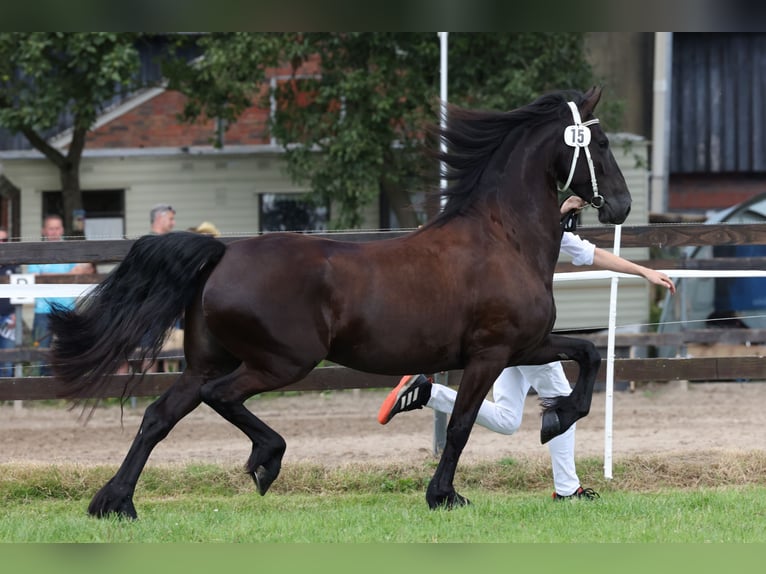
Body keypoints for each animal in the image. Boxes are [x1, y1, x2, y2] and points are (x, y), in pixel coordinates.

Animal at [48, 86, 631, 519]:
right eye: (599, 143)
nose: (622, 206)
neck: (504, 237)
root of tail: (222, 254)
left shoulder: (523, 346)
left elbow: (589, 356)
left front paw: (555, 419)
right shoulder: (492, 352)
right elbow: (463, 425)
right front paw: (444, 495)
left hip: (206, 360)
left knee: (159, 416)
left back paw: (115, 503)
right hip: (281, 361)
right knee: (220, 397)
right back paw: (266, 460)